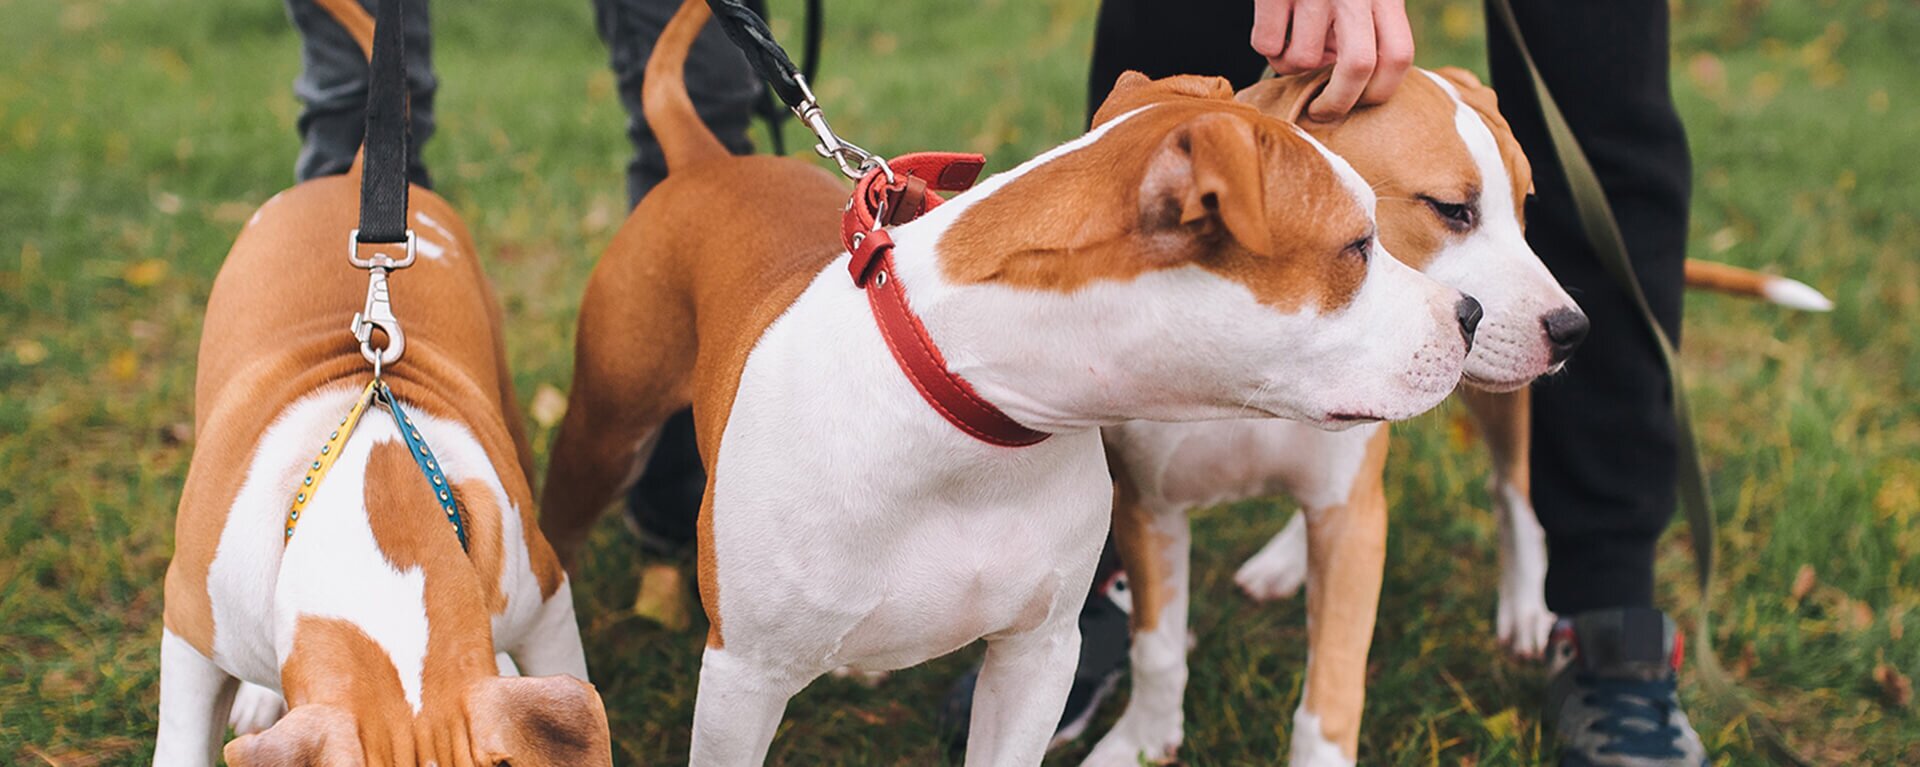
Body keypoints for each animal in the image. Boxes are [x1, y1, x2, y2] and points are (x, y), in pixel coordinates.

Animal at [541, 3, 1482, 765]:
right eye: (1356, 246)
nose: (1469, 312)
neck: (967, 424)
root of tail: (706, 161)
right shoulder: (743, 678)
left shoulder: (1038, 655)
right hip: (603, 432)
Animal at [1082, 67, 1827, 767]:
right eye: (1451, 210)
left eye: (1526, 208)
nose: (1573, 329)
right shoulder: (1147, 507)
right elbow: (1156, 649)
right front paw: (1140, 741)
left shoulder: (1352, 526)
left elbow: (1332, 686)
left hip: (1502, 404)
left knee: (1512, 491)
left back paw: (1525, 603)